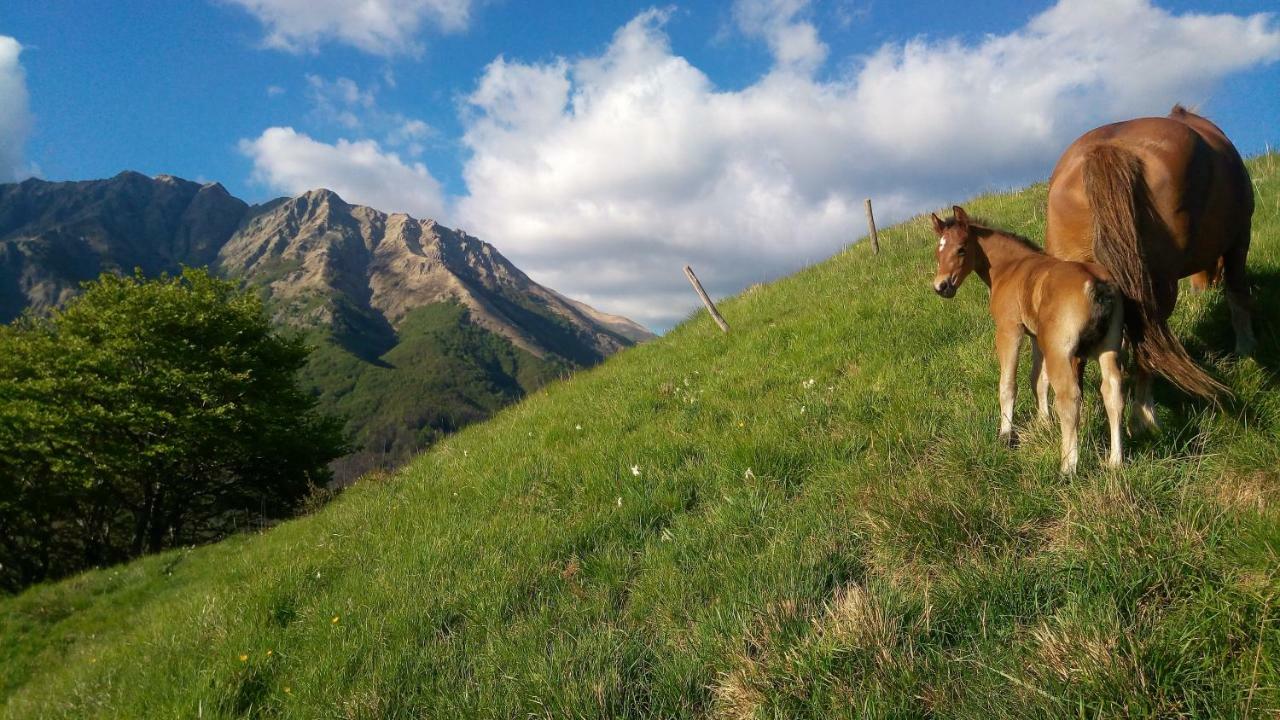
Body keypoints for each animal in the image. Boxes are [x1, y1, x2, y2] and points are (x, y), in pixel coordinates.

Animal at [931, 204, 1121, 471]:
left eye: (961, 249)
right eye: (938, 252)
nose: (941, 286)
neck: (1010, 267)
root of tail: (1095, 283)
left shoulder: (1009, 329)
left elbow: (1008, 384)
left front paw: (1005, 435)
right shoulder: (1035, 336)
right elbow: (1038, 380)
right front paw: (1043, 423)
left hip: (1059, 351)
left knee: (1069, 397)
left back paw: (1068, 466)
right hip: (1108, 346)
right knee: (1112, 391)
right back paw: (1115, 461)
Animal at [1044, 104, 1254, 427]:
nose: (1203, 288)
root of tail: (1105, 150)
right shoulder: (1240, 238)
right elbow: (1238, 295)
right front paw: (1246, 350)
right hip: (1157, 288)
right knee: (1147, 347)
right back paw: (1144, 417)